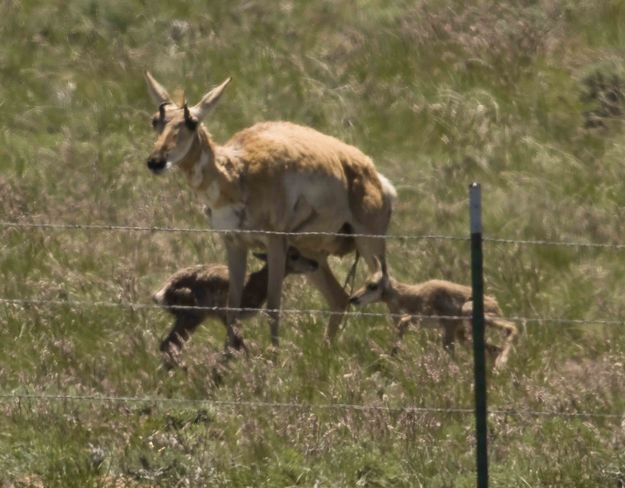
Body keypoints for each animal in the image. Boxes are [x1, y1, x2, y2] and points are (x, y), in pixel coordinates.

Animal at [145, 70, 394, 348]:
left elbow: (274, 308)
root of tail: (373, 172)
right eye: (156, 120)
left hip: (369, 245)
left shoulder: (275, 243)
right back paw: (327, 350)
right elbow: (233, 307)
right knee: (339, 298)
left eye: (192, 122)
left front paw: (274, 357)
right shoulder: (234, 243)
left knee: (386, 289)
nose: (156, 161)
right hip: (312, 254)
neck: (238, 174)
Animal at [152, 248, 316, 366]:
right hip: (193, 317)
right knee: (170, 344)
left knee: (168, 344)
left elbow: (233, 346)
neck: (253, 282)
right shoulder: (228, 315)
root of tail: (162, 291)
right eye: (294, 255)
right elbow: (238, 345)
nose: (314, 263)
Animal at [352, 264, 516, 368]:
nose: (353, 298)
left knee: (512, 327)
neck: (412, 294)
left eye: (372, 285)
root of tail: (496, 304)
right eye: (365, 282)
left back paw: (501, 363)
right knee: (494, 349)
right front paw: (391, 354)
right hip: (463, 334)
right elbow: (402, 324)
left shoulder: (447, 326)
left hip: (469, 315)